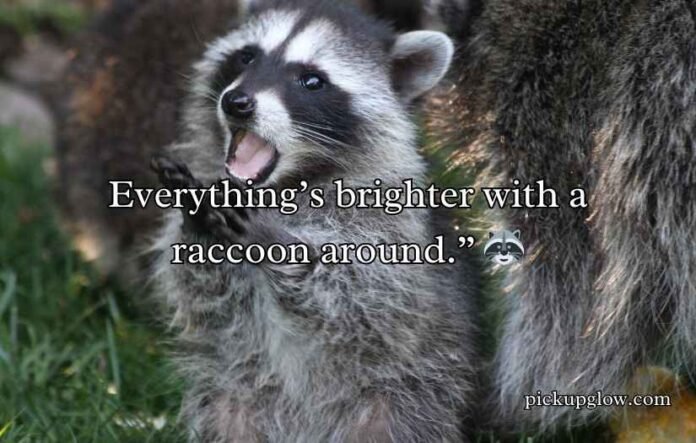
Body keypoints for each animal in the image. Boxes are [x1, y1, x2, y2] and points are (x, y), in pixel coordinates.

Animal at [151, 0, 481, 441]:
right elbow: (201, 292)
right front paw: (199, 225)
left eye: (311, 81)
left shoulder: (393, 231)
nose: (237, 102)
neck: (283, 185)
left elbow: (366, 301)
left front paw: (275, 239)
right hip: (234, 396)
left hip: (406, 398)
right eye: (247, 56)